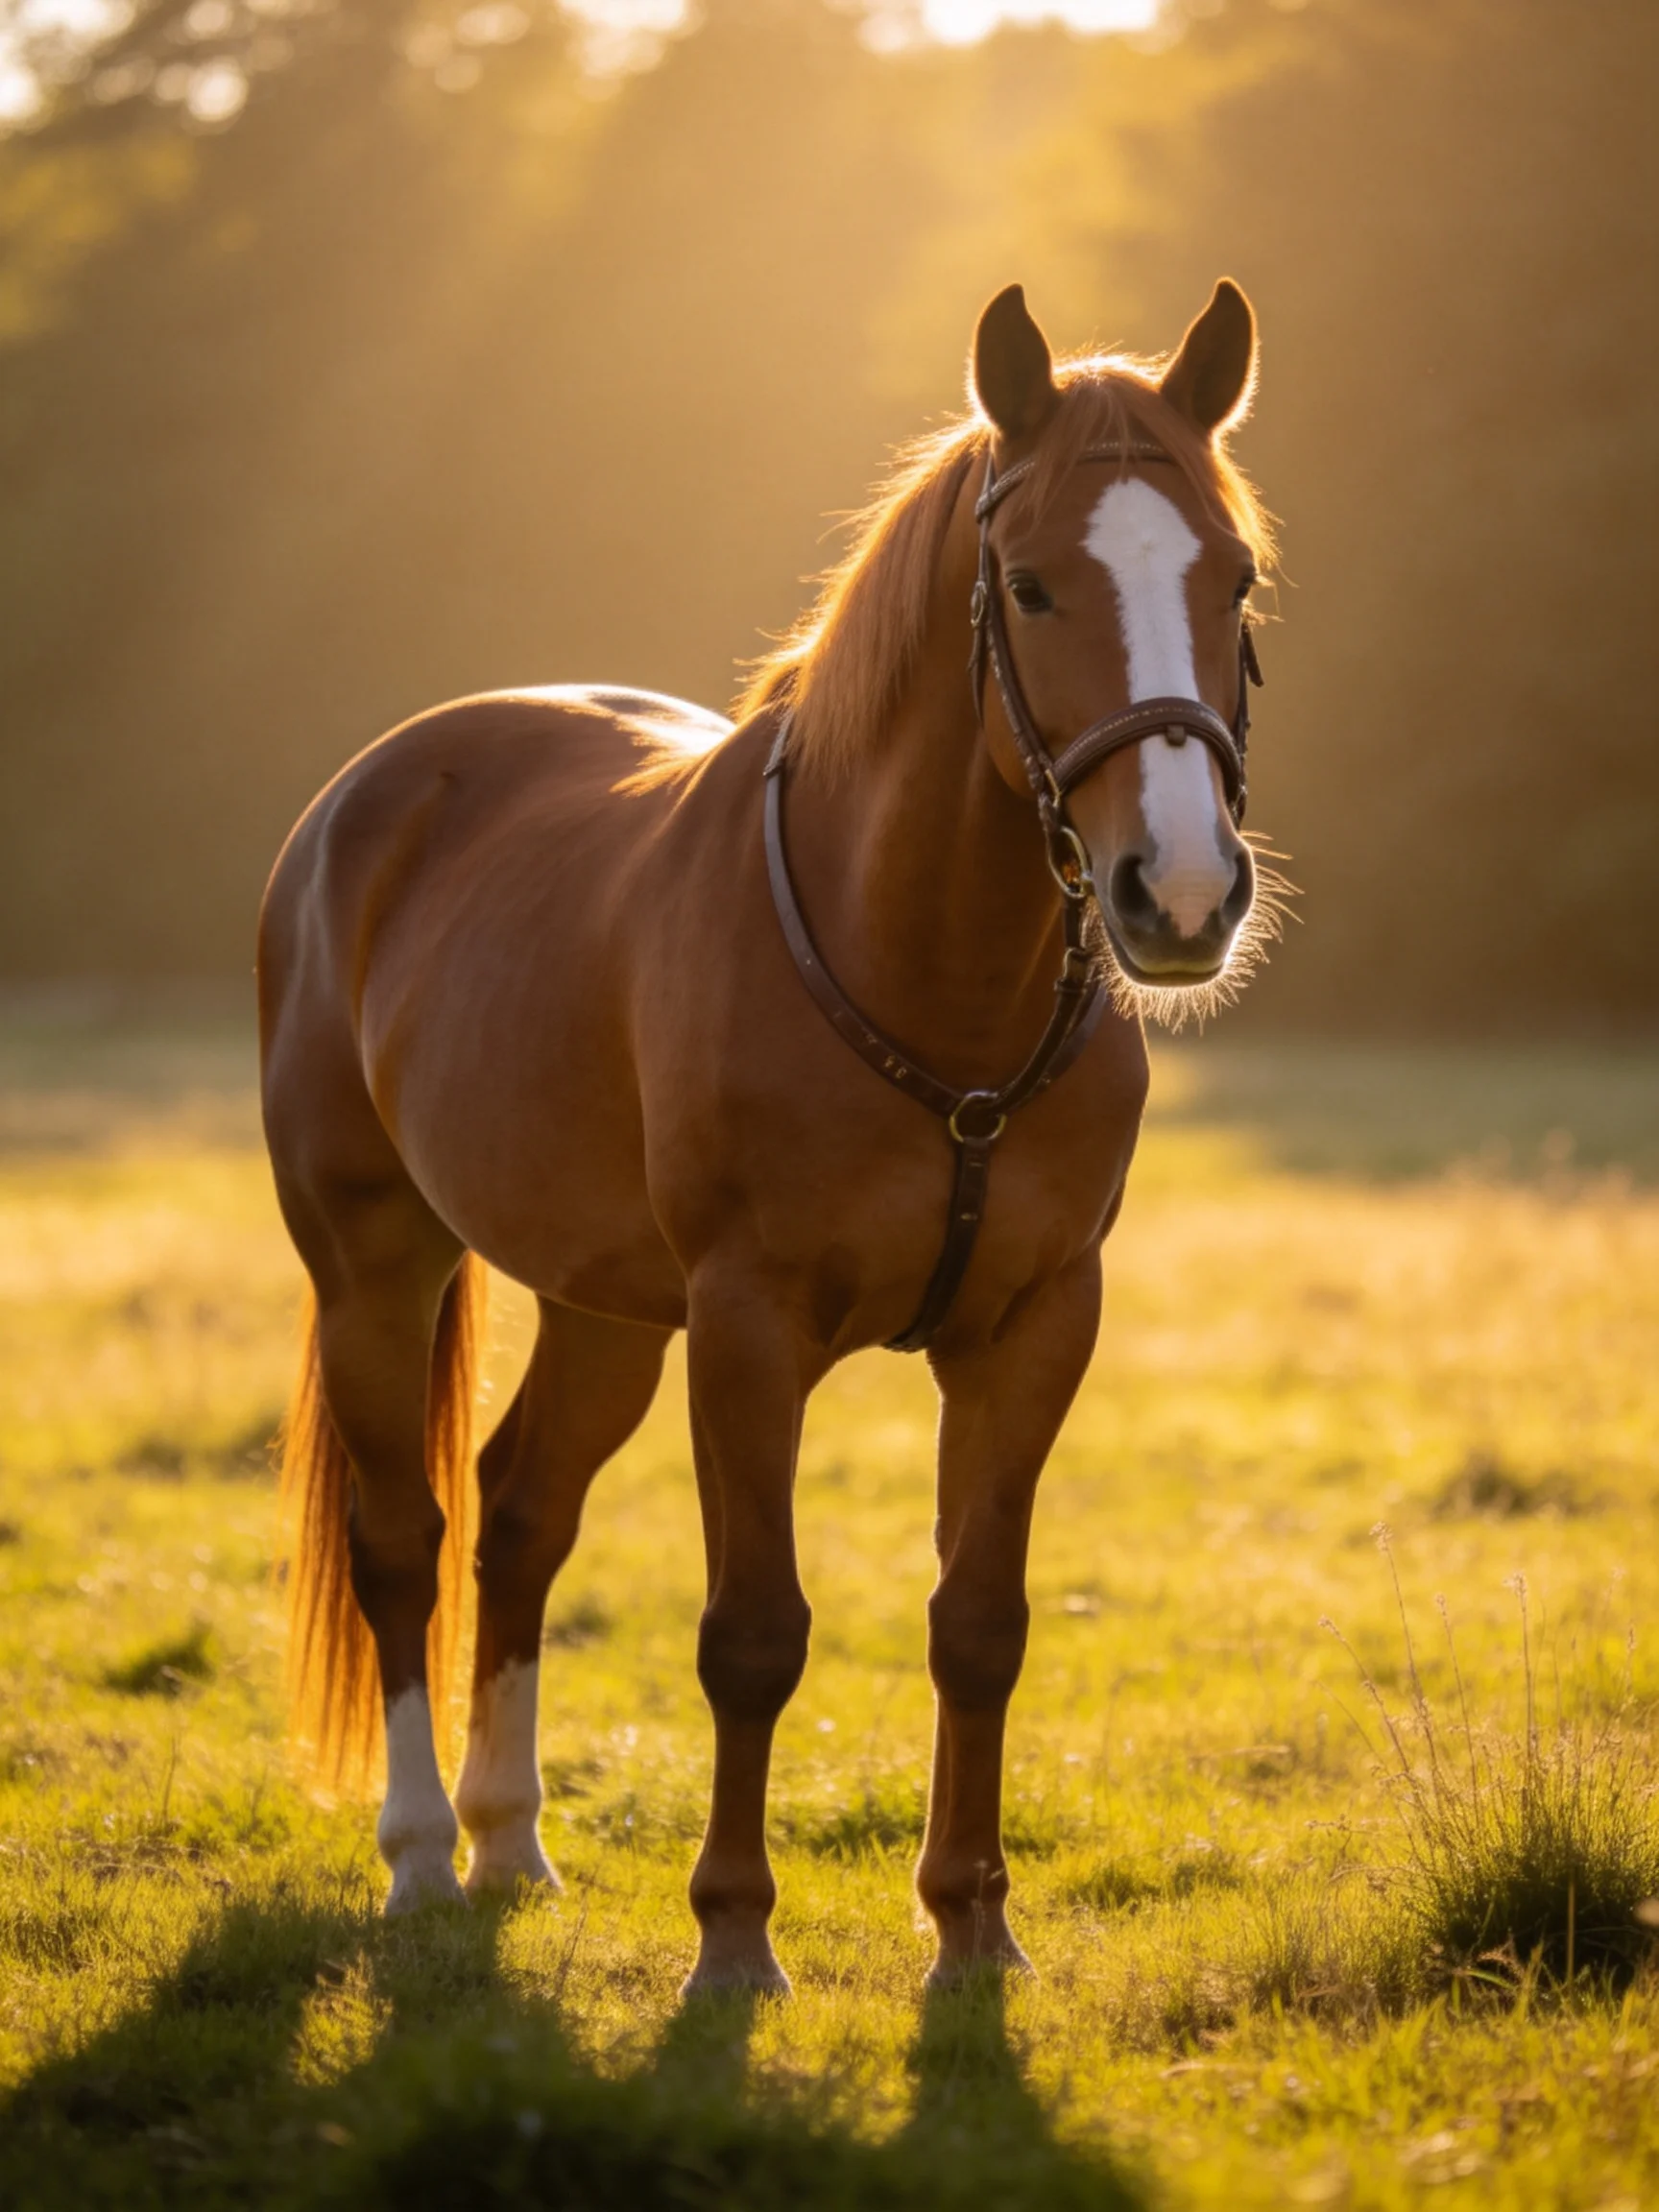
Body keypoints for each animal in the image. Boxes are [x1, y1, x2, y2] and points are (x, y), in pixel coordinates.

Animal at [258, 277, 1277, 1993]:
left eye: (1235, 574)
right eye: (1031, 585)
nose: (1184, 895)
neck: (924, 971)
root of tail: (369, 796)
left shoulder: (1032, 1327)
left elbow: (979, 1625)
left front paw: (972, 1930)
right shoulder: (747, 1330)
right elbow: (751, 1635)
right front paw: (734, 1939)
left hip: (603, 1307)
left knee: (520, 1516)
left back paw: (509, 1842)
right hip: (372, 1263)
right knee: (406, 1536)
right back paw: (419, 1861)